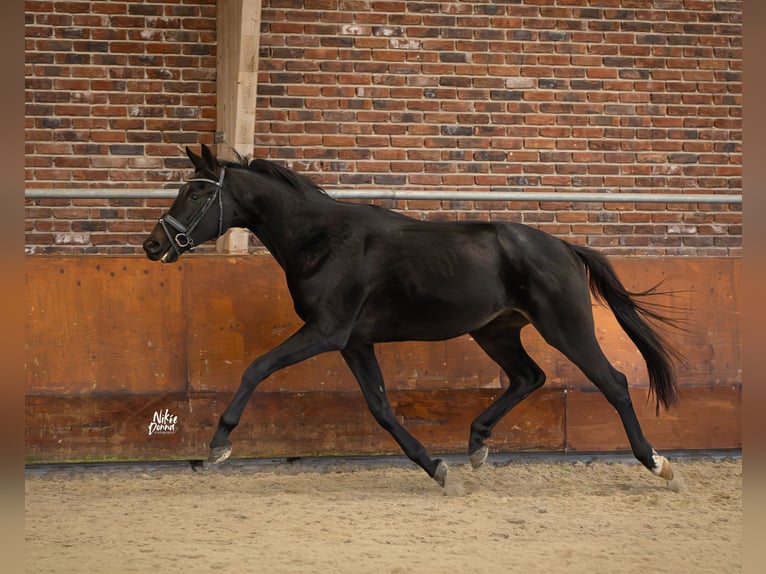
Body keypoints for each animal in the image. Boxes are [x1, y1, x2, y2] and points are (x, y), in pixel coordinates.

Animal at [143, 144, 683, 489]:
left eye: (196, 194)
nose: (153, 244)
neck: (321, 239)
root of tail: (566, 247)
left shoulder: (326, 332)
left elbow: (256, 368)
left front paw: (218, 445)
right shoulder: (355, 343)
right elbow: (381, 408)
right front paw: (435, 467)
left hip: (565, 327)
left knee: (613, 382)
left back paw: (658, 464)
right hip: (496, 332)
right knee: (529, 377)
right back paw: (476, 445)